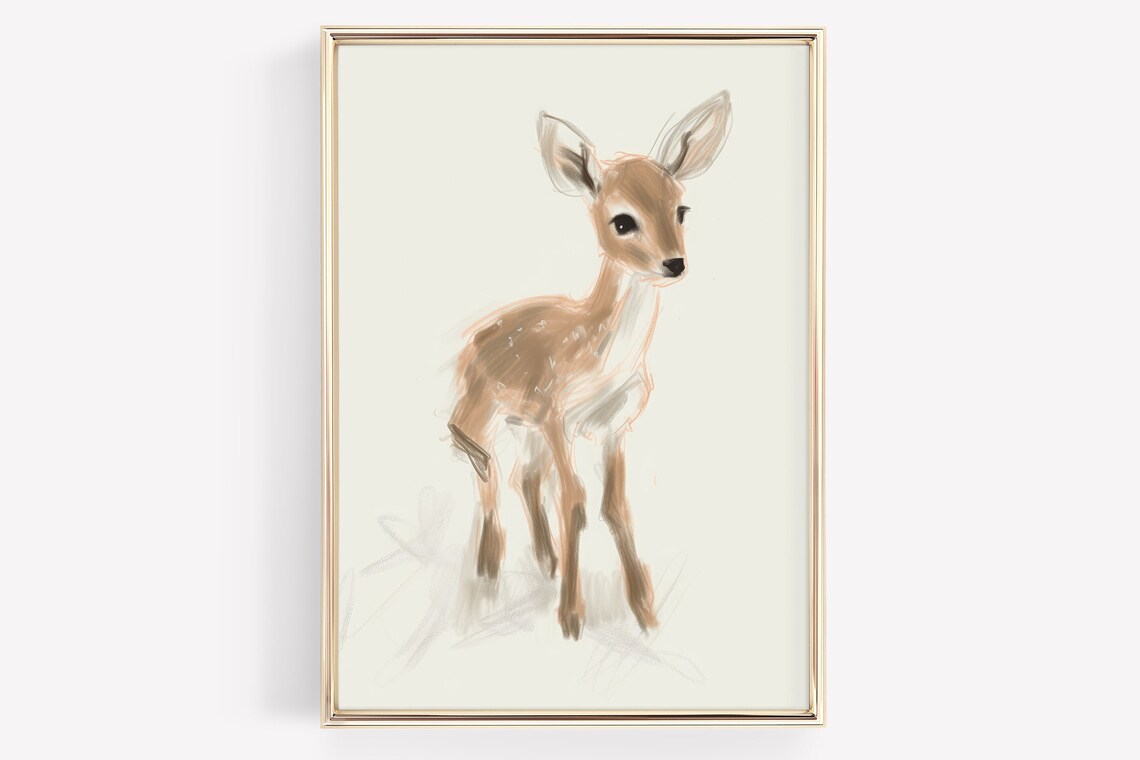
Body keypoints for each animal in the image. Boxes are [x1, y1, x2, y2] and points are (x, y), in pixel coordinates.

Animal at [448, 91, 732, 639]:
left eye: (681, 209)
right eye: (622, 220)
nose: (674, 263)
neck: (600, 357)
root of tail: (472, 341)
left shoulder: (614, 425)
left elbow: (614, 507)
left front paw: (645, 612)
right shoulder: (560, 417)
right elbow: (575, 504)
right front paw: (572, 618)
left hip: (524, 425)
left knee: (523, 477)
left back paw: (546, 561)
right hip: (482, 412)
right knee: (484, 468)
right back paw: (490, 568)